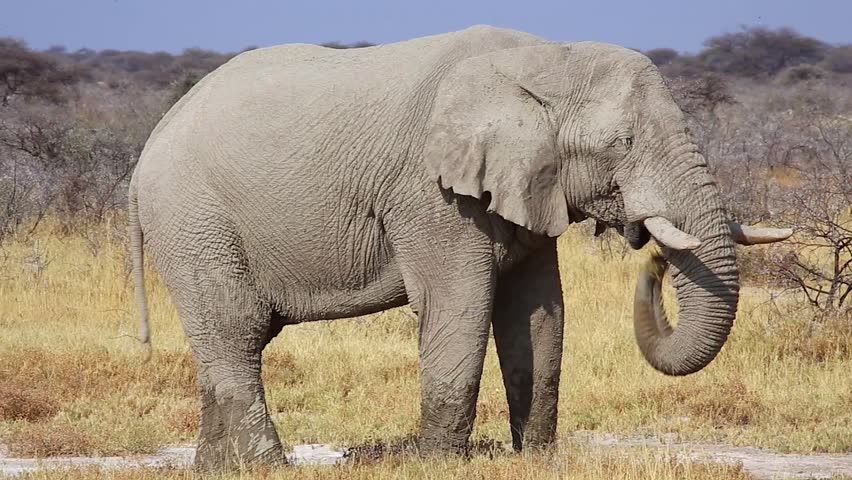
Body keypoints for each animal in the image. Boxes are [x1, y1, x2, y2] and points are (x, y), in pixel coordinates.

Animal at [128, 25, 792, 468]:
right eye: (622, 143)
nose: (650, 248)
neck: (544, 58)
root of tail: (147, 149)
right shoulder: (430, 193)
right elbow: (461, 306)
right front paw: (440, 465)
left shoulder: (528, 185)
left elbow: (538, 314)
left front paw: (537, 462)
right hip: (194, 222)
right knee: (236, 333)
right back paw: (269, 469)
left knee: (230, 342)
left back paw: (217, 470)